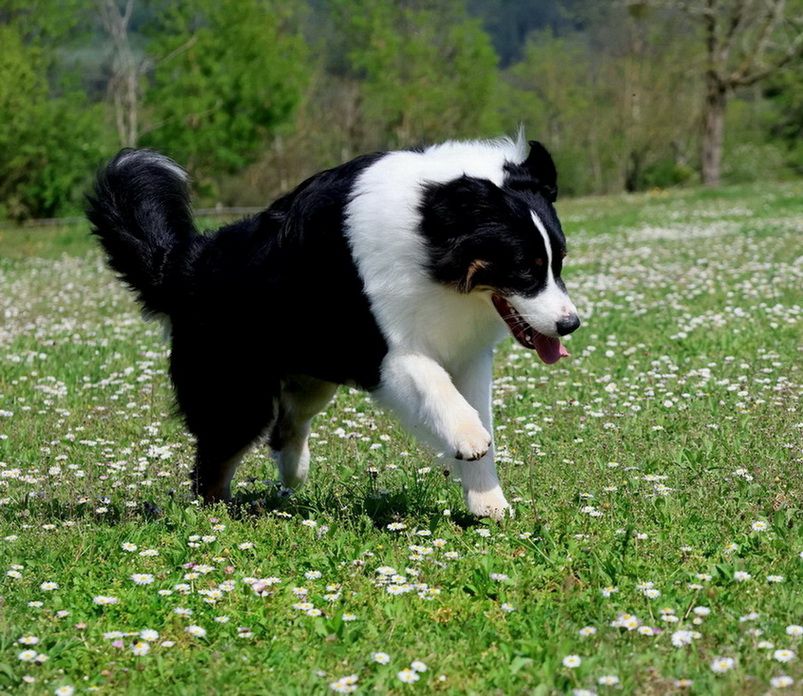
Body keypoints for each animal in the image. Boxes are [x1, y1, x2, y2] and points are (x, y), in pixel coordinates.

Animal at [86, 136, 576, 520]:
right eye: (525, 268)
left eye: (558, 261)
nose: (570, 324)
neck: (428, 231)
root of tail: (183, 263)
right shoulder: (387, 352)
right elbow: (438, 390)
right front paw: (468, 439)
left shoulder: (467, 353)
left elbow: (473, 413)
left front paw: (488, 503)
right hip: (238, 394)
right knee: (214, 462)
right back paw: (218, 514)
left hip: (312, 375)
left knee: (286, 425)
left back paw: (292, 472)